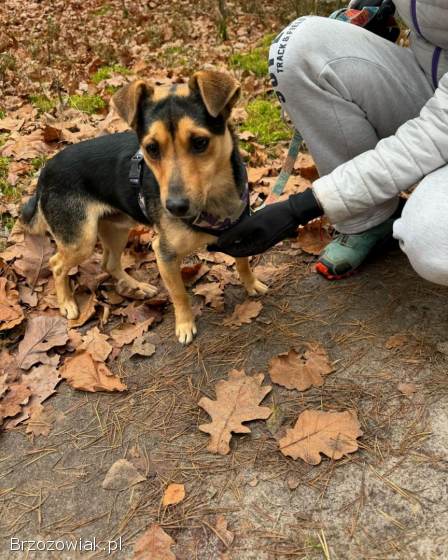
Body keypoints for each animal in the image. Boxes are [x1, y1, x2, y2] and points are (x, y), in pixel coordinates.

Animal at [21, 70, 266, 342]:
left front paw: (251, 284)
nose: (175, 207)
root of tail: (44, 173)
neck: (216, 200)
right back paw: (66, 303)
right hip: (81, 240)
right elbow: (179, 294)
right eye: (151, 148)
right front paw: (184, 324)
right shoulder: (164, 253)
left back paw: (137, 286)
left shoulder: (239, 233)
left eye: (200, 142)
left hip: (116, 229)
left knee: (109, 263)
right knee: (56, 264)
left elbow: (243, 263)